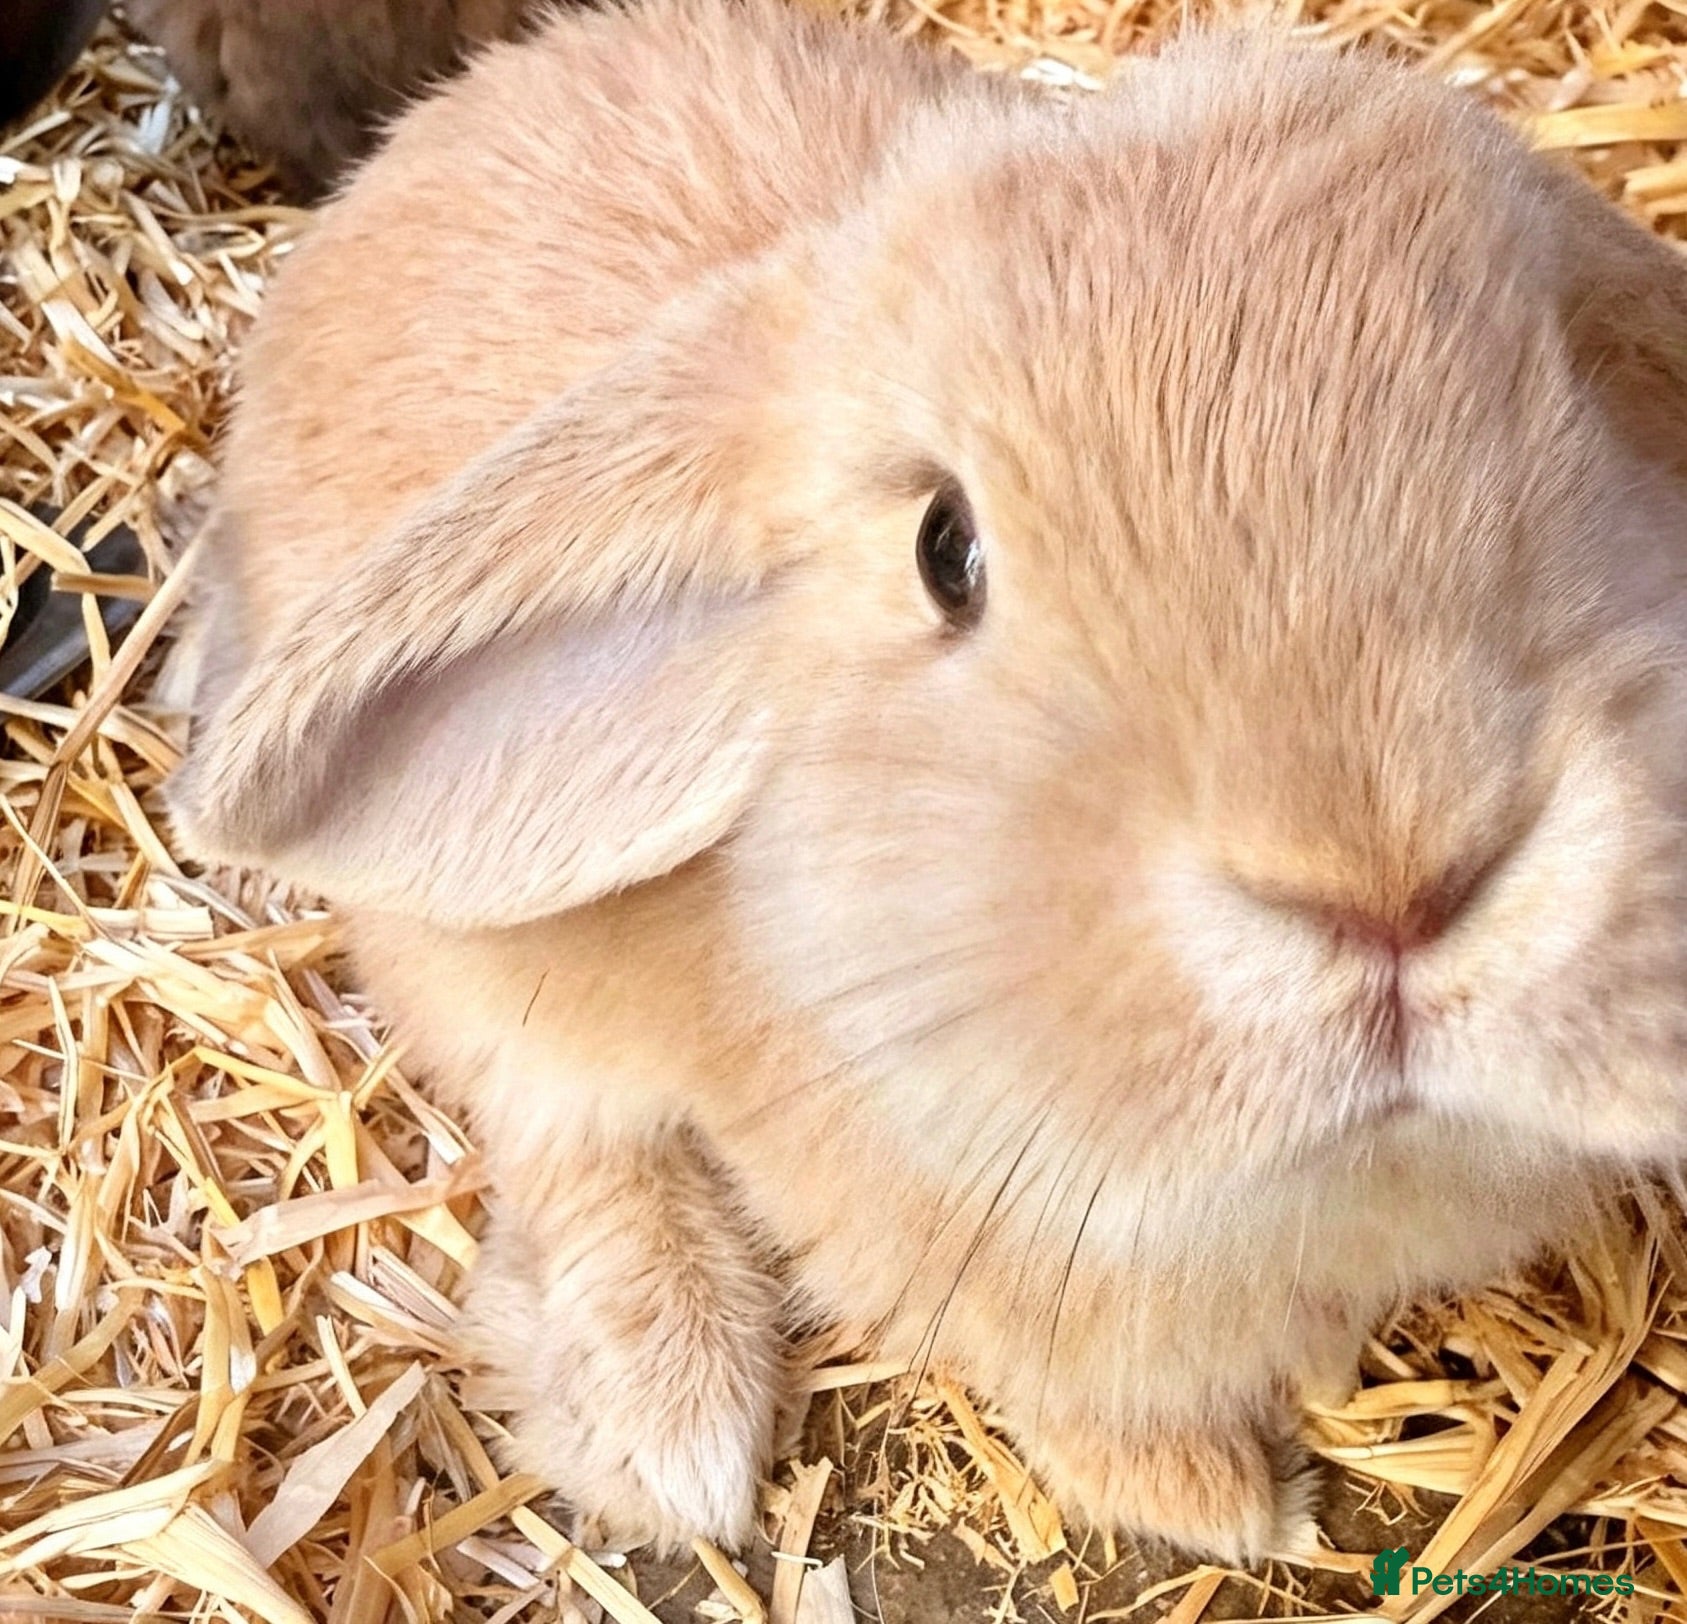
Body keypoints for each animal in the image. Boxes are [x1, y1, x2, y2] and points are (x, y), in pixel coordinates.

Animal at [170, 0, 1687, 1563]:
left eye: (1591, 409)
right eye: (943, 550)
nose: (1390, 877)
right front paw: (1222, 1503)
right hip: (483, 971)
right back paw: (672, 1421)